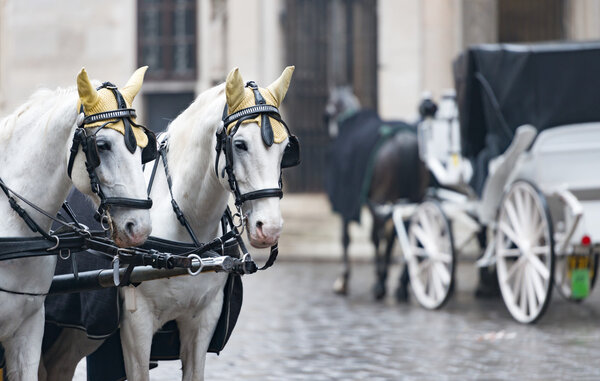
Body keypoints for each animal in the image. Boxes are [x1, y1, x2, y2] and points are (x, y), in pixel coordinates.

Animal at [324, 87, 426, 298]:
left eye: (327, 114)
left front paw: (343, 279)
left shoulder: (349, 203)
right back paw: (401, 284)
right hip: (413, 200)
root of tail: (404, 140)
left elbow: (348, 238)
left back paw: (381, 282)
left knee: (382, 234)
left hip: (383, 199)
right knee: (408, 229)